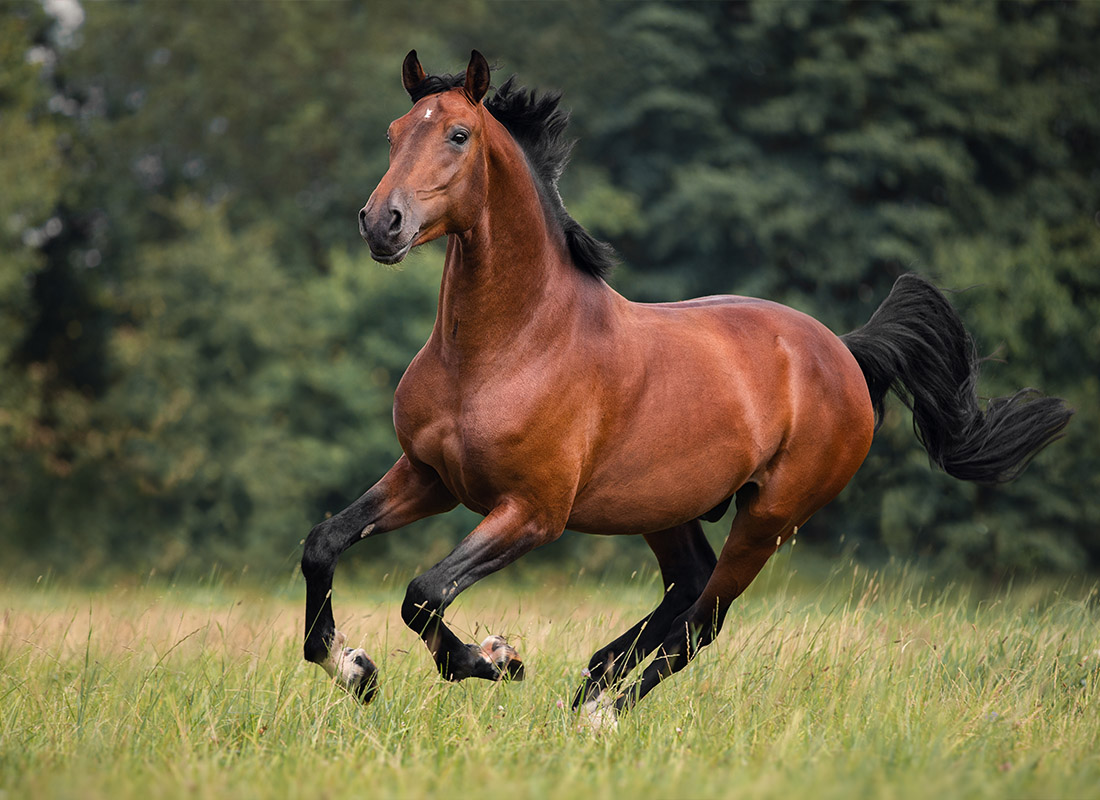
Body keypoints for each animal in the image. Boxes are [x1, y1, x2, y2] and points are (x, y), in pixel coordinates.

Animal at [301, 50, 1073, 721]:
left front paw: (495, 659)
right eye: (394, 132)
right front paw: (353, 668)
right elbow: (325, 544)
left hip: (768, 518)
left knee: (703, 620)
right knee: (687, 589)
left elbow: (425, 591)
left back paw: (600, 712)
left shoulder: (532, 512)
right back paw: (593, 680)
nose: (382, 223)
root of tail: (846, 354)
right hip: (665, 508)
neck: (506, 348)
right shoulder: (429, 475)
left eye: (458, 134)